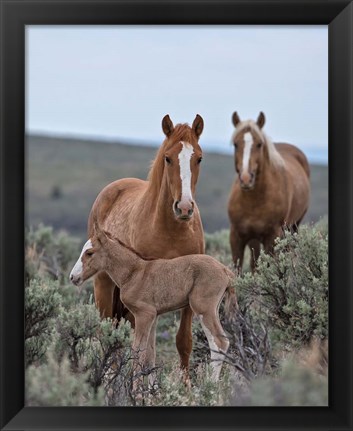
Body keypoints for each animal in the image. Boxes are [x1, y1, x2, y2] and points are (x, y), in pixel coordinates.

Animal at [70, 228, 235, 394]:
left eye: (89, 252)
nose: (73, 277)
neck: (133, 273)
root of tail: (225, 270)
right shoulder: (154, 317)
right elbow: (150, 355)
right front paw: (153, 393)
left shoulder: (144, 314)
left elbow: (138, 352)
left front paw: (135, 393)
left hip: (203, 308)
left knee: (220, 342)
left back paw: (209, 387)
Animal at [86, 115, 205, 378]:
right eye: (168, 158)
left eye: (199, 158)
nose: (184, 207)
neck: (172, 231)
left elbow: (183, 341)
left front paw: (185, 385)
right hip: (103, 286)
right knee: (107, 333)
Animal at [228, 113, 308, 272]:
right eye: (235, 144)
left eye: (259, 144)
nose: (246, 178)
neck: (253, 201)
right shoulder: (237, 236)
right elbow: (239, 269)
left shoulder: (272, 237)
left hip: (293, 227)